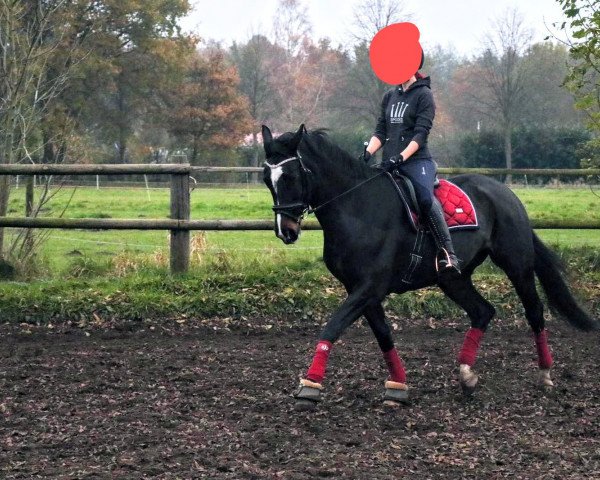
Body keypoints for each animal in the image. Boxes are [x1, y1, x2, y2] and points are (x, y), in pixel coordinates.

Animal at [262, 123, 596, 408]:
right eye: (268, 180)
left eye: (290, 176)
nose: (285, 231)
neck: (357, 207)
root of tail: (504, 192)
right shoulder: (361, 290)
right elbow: (383, 335)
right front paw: (398, 387)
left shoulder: (369, 287)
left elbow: (332, 327)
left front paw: (310, 386)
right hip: (452, 278)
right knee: (482, 311)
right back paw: (467, 375)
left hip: (517, 265)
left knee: (534, 311)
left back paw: (545, 374)